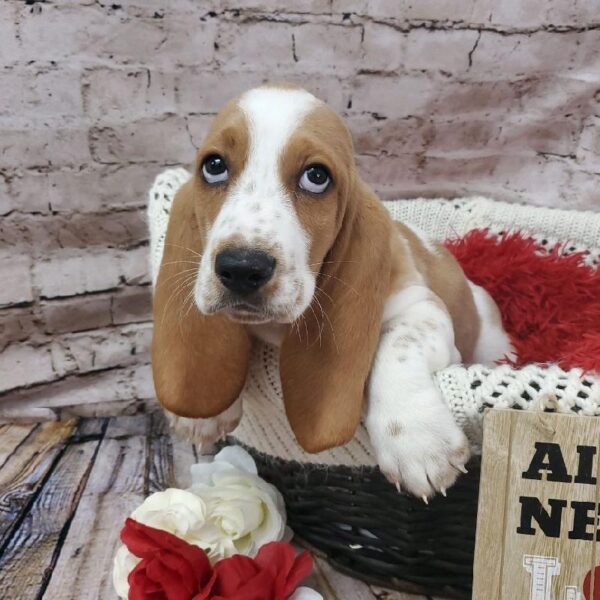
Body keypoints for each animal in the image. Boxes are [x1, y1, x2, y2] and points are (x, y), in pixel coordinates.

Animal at [152, 82, 512, 500]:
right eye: (214, 166)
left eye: (316, 177)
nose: (241, 268)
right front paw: (206, 415)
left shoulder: (420, 307)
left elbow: (397, 343)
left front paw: (416, 440)